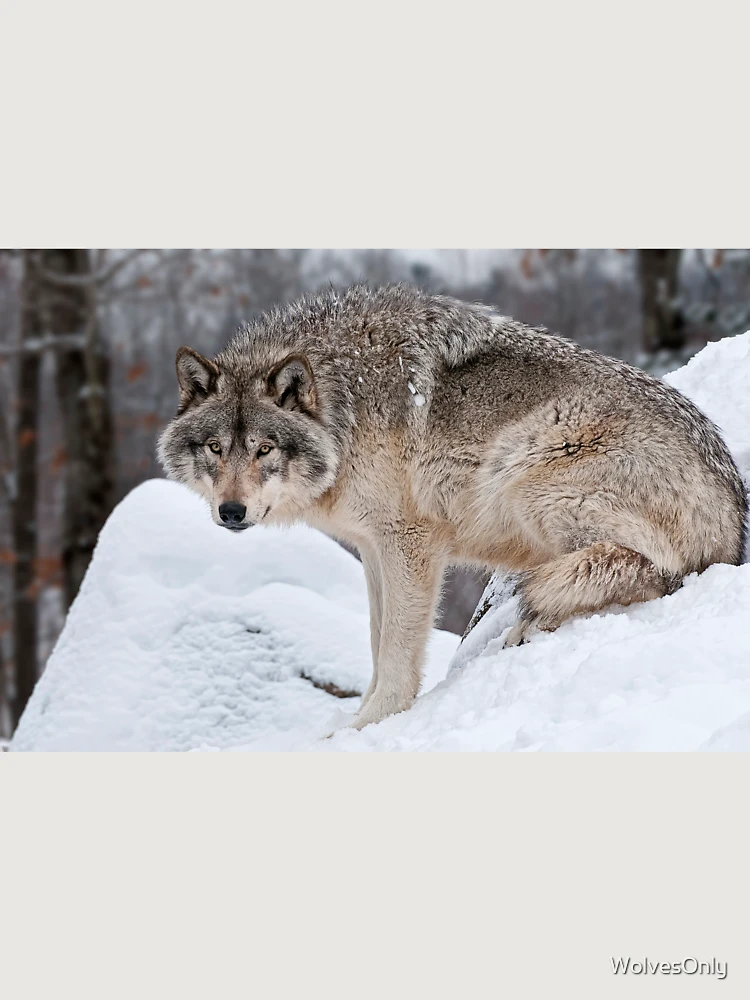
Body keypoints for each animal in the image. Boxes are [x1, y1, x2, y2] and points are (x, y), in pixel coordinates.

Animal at [158, 284, 747, 731]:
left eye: (264, 449)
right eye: (216, 449)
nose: (232, 512)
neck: (345, 406)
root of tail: (734, 503)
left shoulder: (409, 541)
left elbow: (397, 650)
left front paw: (368, 725)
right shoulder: (372, 548)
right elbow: (377, 642)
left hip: (527, 466)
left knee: (650, 571)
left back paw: (533, 623)